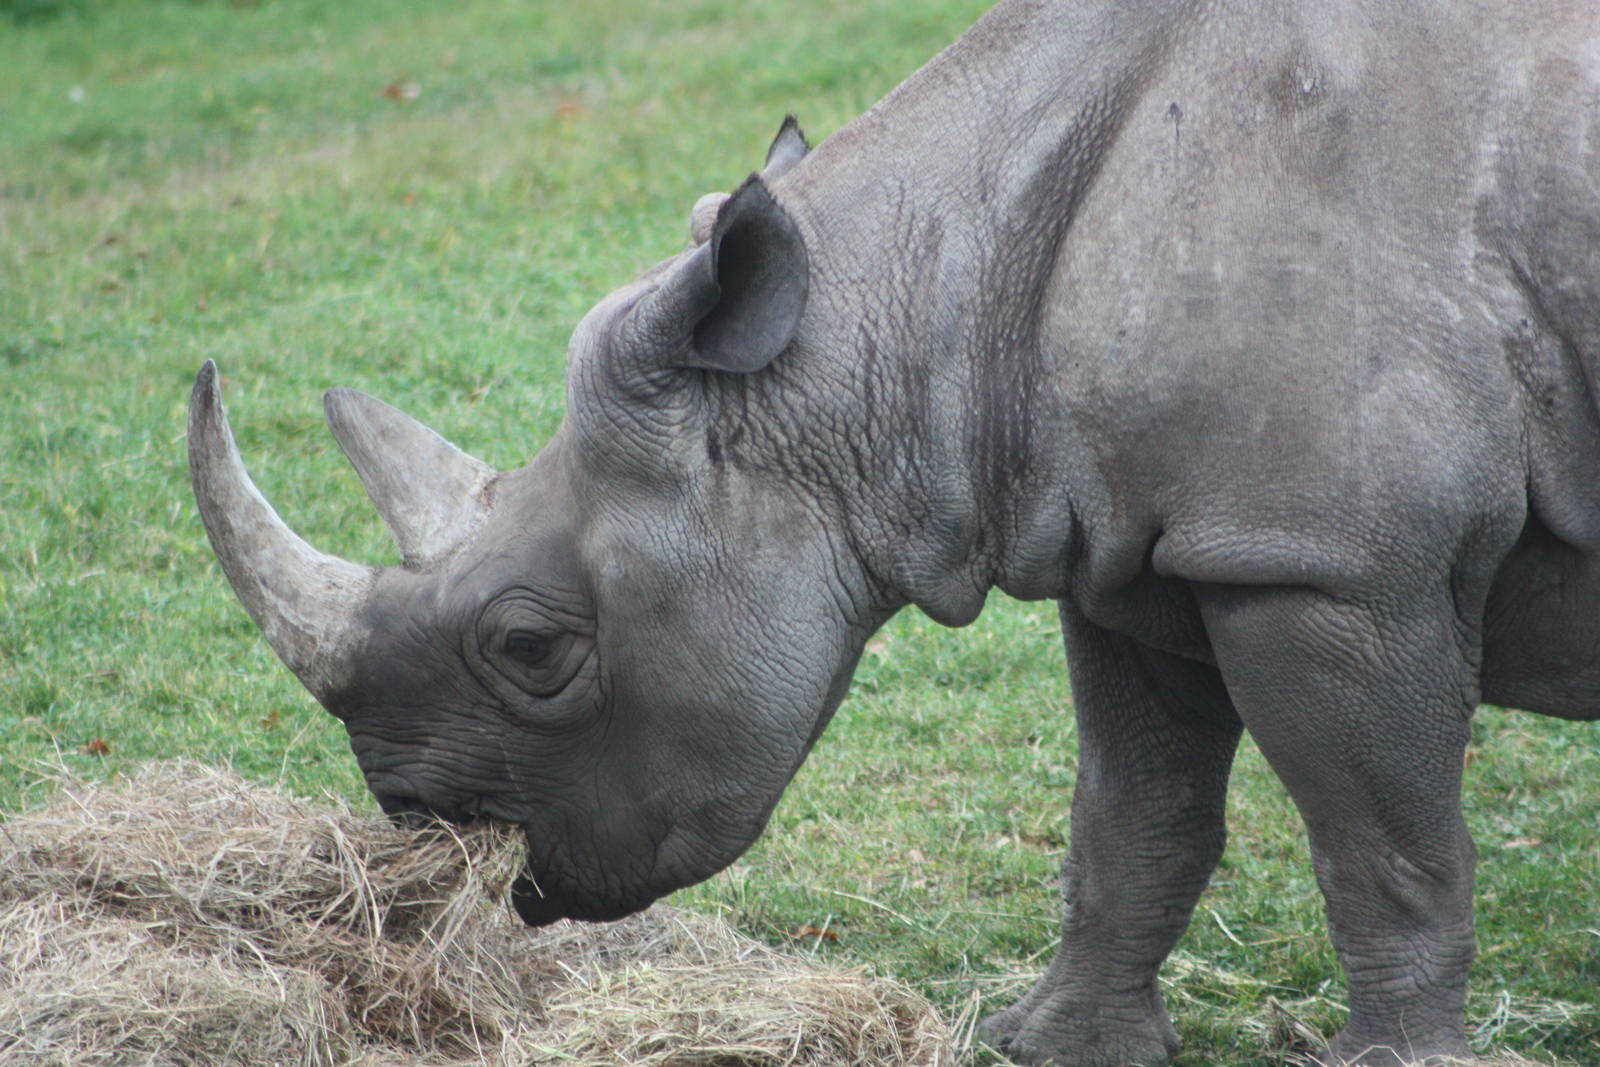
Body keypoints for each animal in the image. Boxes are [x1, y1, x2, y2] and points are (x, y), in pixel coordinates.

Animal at [187, 1, 1600, 1064]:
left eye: (530, 647)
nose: (419, 820)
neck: (894, 317)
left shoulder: (1327, 561)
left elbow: (1381, 843)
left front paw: (1393, 1059)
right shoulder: (1148, 547)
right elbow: (1134, 814)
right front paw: (1051, 1044)